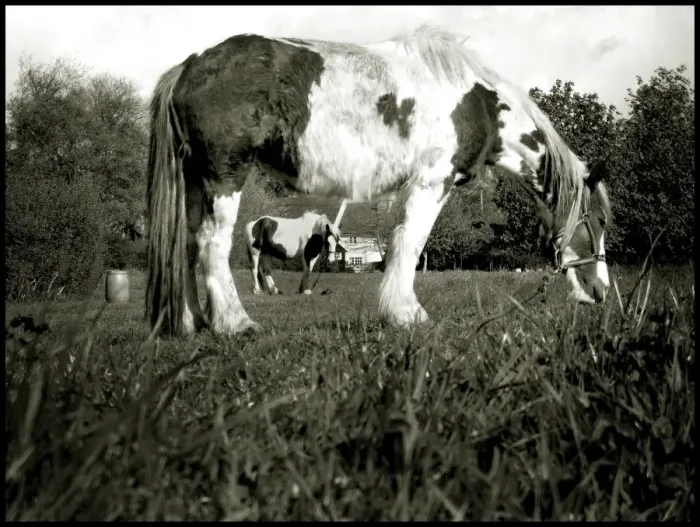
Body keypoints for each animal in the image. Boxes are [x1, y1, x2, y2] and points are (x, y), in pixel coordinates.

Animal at [145, 25, 612, 337]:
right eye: (601, 222)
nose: (600, 292)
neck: (474, 98)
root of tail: (187, 68)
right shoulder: (433, 180)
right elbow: (409, 244)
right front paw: (406, 313)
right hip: (224, 177)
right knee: (212, 245)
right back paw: (235, 322)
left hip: (193, 184)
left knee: (186, 246)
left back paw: (191, 321)